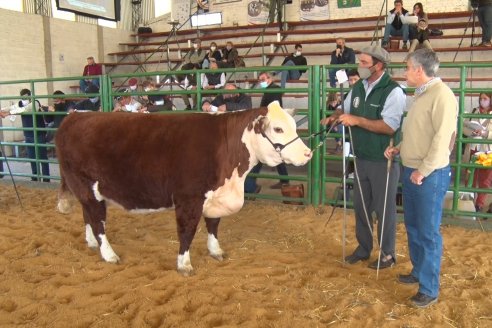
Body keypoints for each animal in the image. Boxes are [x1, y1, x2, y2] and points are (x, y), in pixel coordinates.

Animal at [55, 101, 312, 276]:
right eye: (278, 129)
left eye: (292, 126)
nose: (308, 153)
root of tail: (73, 117)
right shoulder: (189, 198)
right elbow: (187, 231)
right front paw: (184, 264)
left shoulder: (214, 197)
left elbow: (213, 225)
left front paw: (215, 251)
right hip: (85, 185)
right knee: (98, 221)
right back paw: (108, 254)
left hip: (87, 191)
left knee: (87, 215)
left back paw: (91, 243)